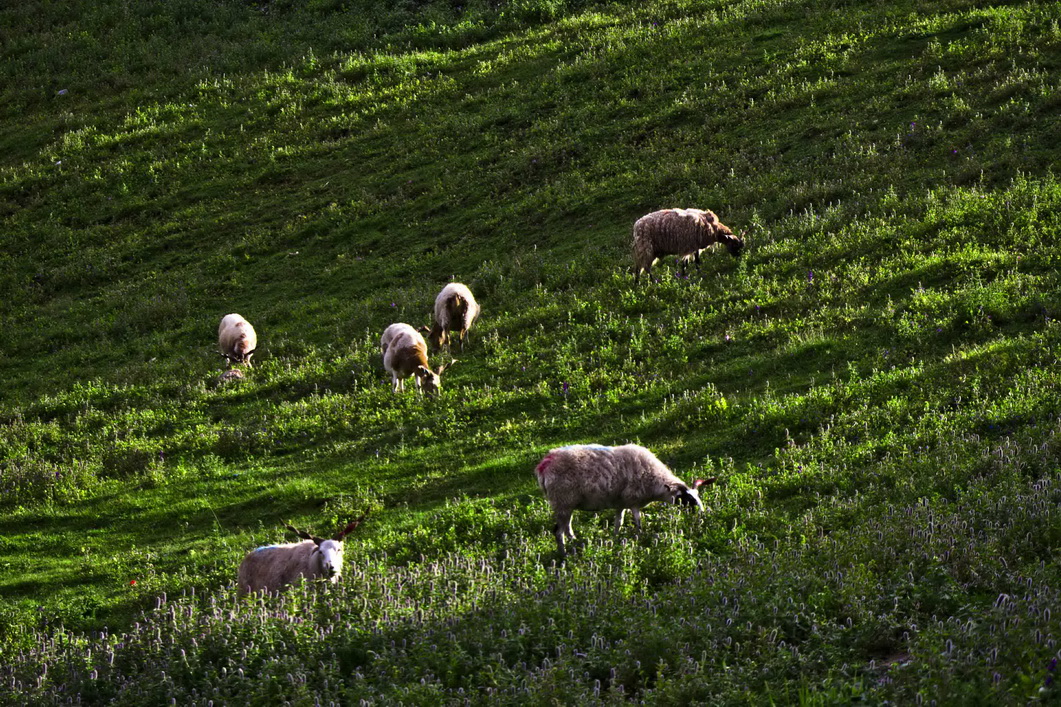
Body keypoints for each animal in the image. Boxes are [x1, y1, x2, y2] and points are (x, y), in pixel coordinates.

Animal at [534, 443, 717, 552]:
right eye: (688, 500)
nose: (703, 516)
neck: (655, 481)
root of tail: (544, 465)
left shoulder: (620, 503)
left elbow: (618, 522)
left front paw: (615, 539)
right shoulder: (633, 500)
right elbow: (638, 523)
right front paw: (640, 539)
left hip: (566, 504)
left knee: (567, 528)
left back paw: (578, 544)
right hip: (562, 501)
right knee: (558, 532)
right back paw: (564, 554)